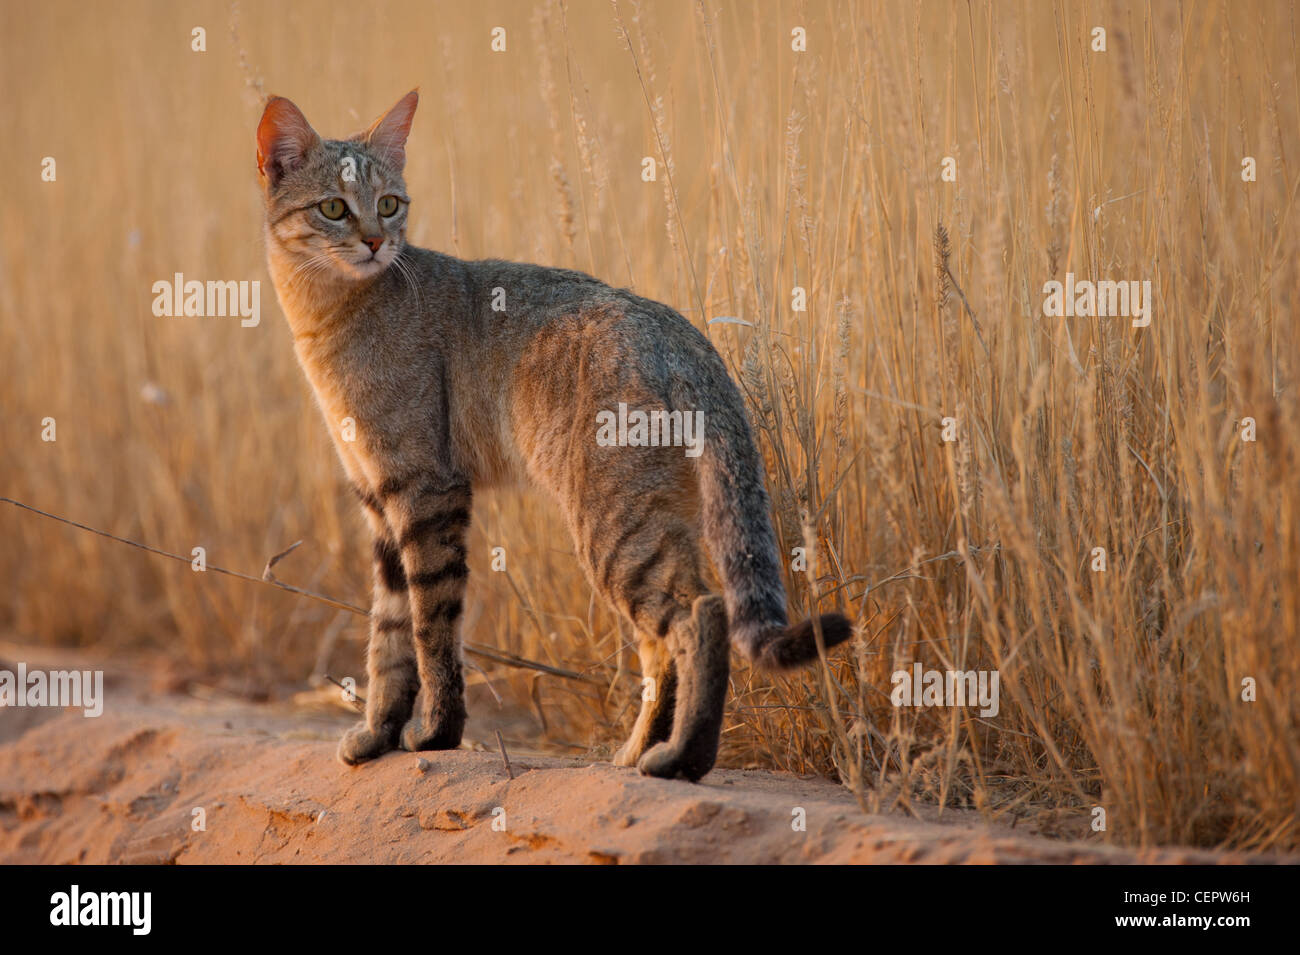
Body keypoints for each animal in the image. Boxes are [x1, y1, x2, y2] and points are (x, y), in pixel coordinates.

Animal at [256, 89, 852, 779]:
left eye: (388, 204)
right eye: (334, 208)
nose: (377, 243)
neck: (327, 316)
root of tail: (681, 335)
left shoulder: (427, 490)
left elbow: (431, 626)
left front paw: (436, 733)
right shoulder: (378, 503)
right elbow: (388, 635)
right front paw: (377, 733)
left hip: (614, 527)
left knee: (697, 615)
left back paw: (682, 757)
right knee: (662, 645)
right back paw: (639, 751)